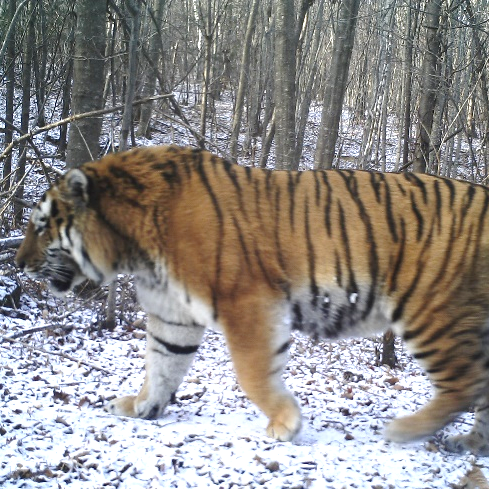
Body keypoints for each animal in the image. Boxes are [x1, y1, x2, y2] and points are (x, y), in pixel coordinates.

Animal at [14, 144, 489, 454]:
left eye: (41, 225)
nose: (17, 263)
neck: (132, 246)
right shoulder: (174, 313)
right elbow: (162, 363)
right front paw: (143, 406)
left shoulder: (247, 302)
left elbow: (252, 372)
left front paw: (285, 424)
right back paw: (470, 443)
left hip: (432, 311)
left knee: (463, 385)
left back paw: (405, 431)